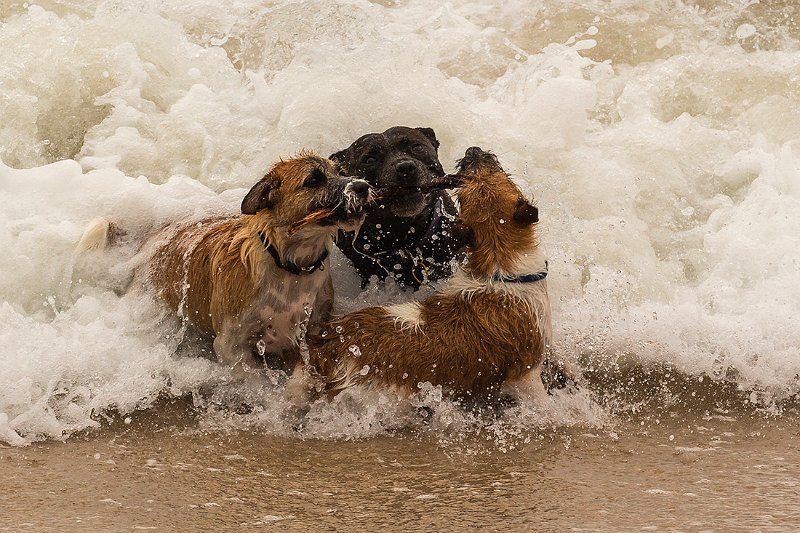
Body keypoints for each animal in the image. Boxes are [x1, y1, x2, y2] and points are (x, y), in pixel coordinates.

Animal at [78, 152, 372, 372]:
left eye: (341, 171)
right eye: (313, 180)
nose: (363, 186)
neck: (290, 269)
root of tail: (154, 239)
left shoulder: (314, 328)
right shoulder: (231, 346)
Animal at [290, 145, 556, 404]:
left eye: (464, 192)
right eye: (499, 175)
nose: (472, 151)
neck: (498, 267)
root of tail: (325, 346)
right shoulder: (526, 375)